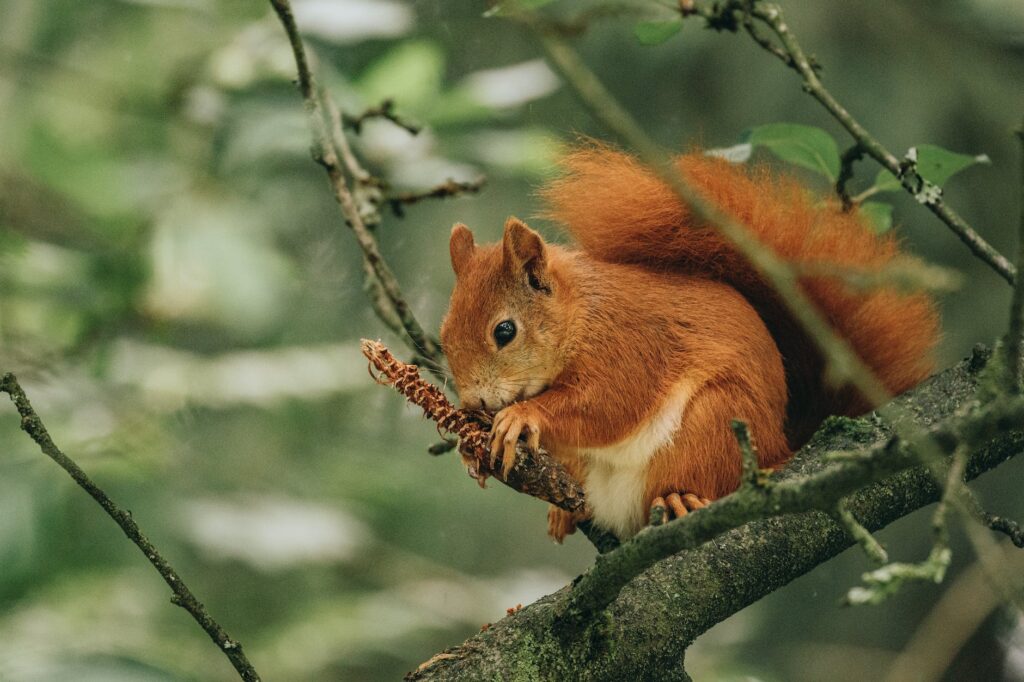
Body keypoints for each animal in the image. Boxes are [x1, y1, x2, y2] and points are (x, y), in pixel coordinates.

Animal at [439, 145, 939, 542]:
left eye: (505, 331)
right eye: (443, 335)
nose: (473, 401)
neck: (579, 316)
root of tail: (781, 445)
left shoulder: (630, 347)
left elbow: (608, 405)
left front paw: (521, 415)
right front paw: (470, 444)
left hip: (715, 423)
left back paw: (681, 498)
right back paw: (564, 511)